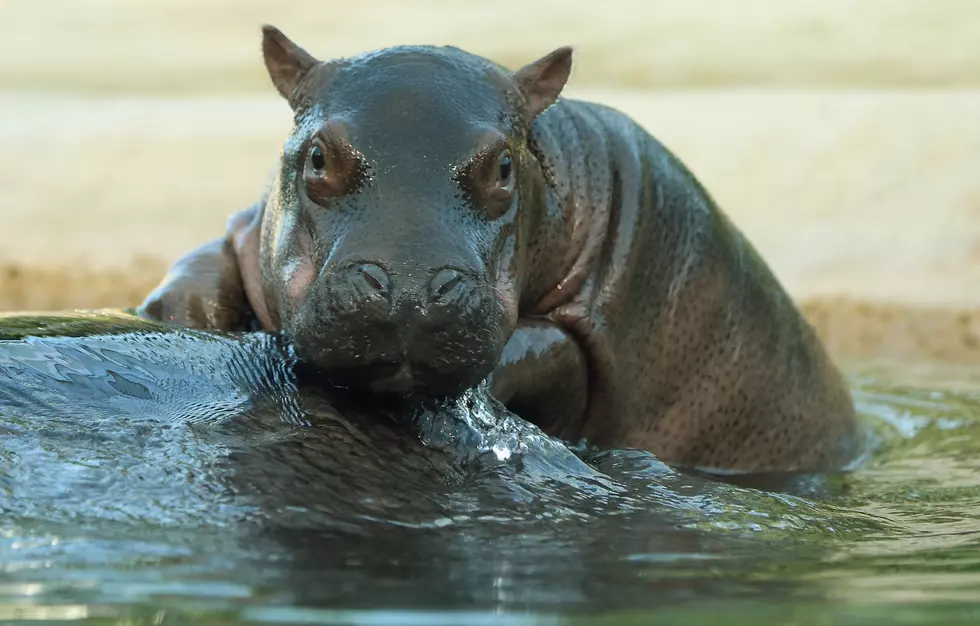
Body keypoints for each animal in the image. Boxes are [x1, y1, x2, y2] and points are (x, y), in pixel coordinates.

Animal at [136, 26, 856, 470]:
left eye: (504, 166)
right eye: (316, 156)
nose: (408, 291)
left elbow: (553, 349)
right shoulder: (246, 229)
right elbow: (200, 268)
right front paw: (180, 315)